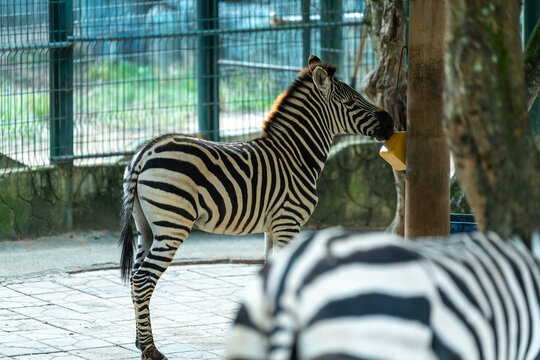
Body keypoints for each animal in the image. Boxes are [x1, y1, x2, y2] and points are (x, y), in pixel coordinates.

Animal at [120, 54, 394, 360]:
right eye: (351, 102)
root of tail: (145, 152)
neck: (296, 156)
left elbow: (271, 275)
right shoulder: (288, 223)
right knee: (143, 280)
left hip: (146, 227)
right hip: (172, 226)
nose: (391, 121)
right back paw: (150, 349)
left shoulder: (272, 227)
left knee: (135, 278)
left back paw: (139, 342)